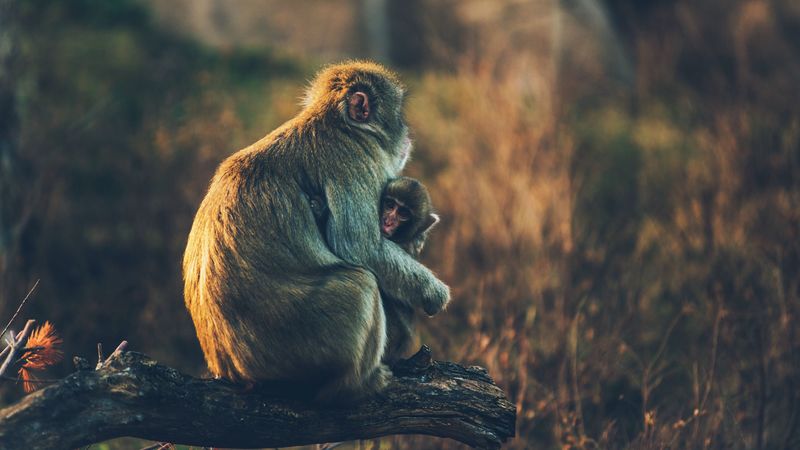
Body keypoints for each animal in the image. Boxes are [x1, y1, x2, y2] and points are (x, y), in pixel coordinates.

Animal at [182, 61, 450, 402]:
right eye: (398, 114)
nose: (407, 136)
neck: (338, 124)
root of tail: (234, 371)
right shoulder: (352, 161)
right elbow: (360, 247)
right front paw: (434, 293)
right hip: (303, 347)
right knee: (361, 283)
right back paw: (357, 384)